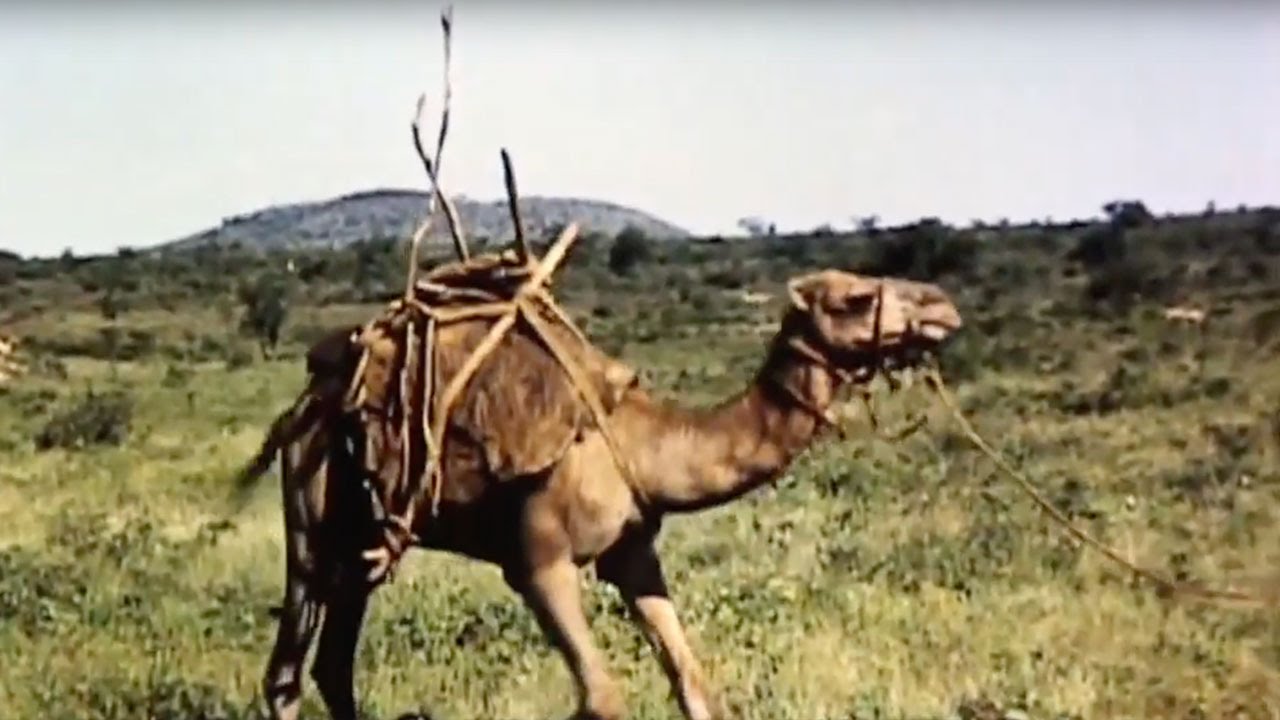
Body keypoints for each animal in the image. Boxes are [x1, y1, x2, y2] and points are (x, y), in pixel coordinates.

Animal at [236, 268, 963, 720]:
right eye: (853, 299)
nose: (941, 307)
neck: (641, 444)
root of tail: (309, 397)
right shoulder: (539, 561)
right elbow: (603, 697)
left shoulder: (632, 551)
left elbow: (691, 680)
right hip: (313, 508)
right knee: (288, 664)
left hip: (364, 536)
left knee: (333, 663)